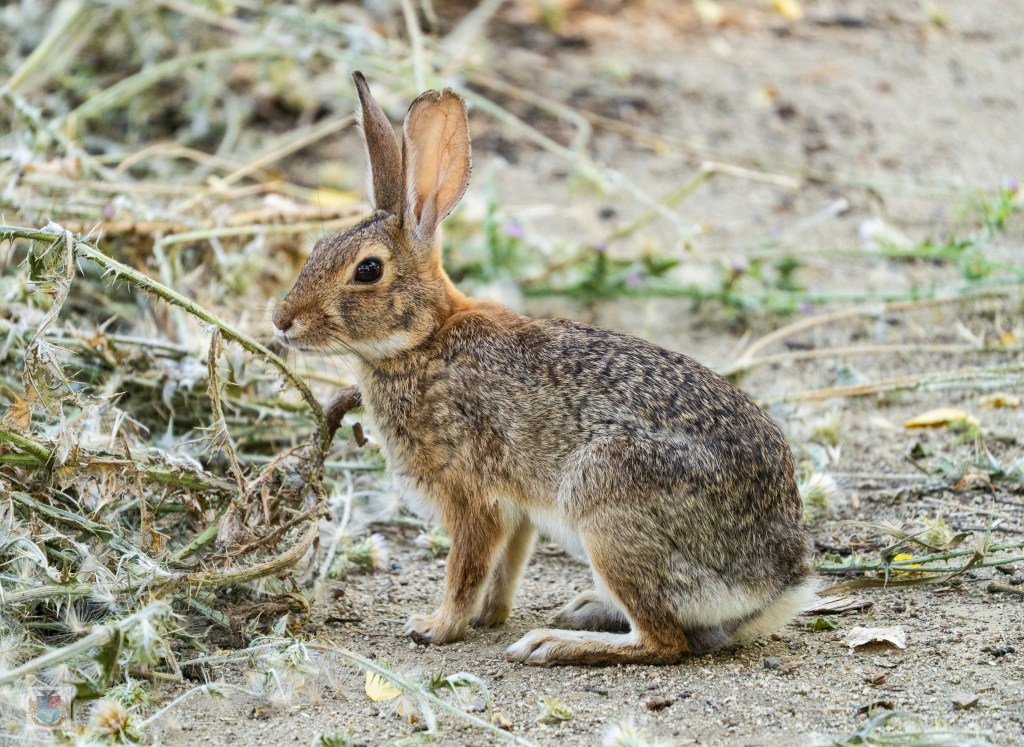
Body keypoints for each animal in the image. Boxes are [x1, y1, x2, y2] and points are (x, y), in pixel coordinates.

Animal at [272, 72, 815, 666]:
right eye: (319, 245)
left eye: (367, 270)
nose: (282, 320)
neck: (424, 339)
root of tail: (777, 583)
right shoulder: (517, 512)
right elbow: (504, 568)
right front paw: (488, 618)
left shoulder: (472, 494)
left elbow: (464, 568)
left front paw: (437, 627)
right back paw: (580, 611)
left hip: (606, 505)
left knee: (662, 641)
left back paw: (553, 642)